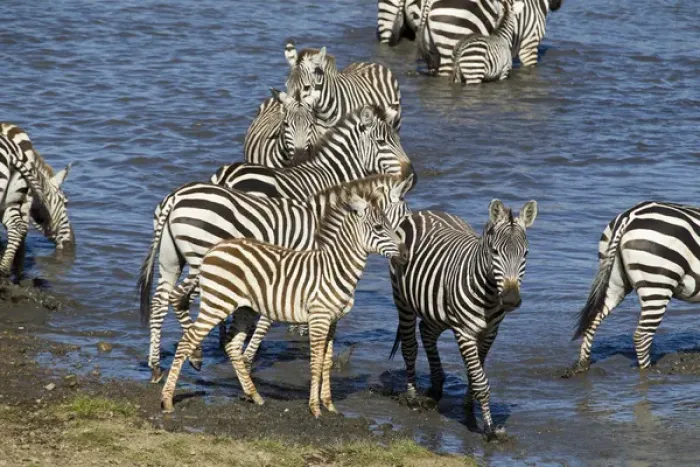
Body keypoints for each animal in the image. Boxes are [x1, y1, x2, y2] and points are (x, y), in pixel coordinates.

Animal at [138, 174, 414, 383]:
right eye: (392, 222)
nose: (406, 254)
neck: (321, 227)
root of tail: (176, 197)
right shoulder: (291, 274)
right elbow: (268, 319)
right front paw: (248, 359)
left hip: (171, 261)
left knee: (160, 301)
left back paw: (155, 365)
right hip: (201, 258)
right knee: (178, 298)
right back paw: (194, 354)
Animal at [389, 200, 537, 440]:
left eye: (525, 254)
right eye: (495, 252)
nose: (511, 299)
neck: (489, 296)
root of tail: (425, 211)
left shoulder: (489, 333)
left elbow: (473, 375)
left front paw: (468, 409)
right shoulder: (465, 332)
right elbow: (481, 381)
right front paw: (490, 429)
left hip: (437, 307)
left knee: (426, 331)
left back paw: (436, 389)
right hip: (402, 299)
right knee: (409, 345)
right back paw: (412, 397)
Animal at [565, 201, 700, 378]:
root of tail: (629, 216)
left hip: (614, 281)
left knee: (592, 321)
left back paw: (582, 365)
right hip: (657, 283)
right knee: (642, 336)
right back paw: (649, 371)